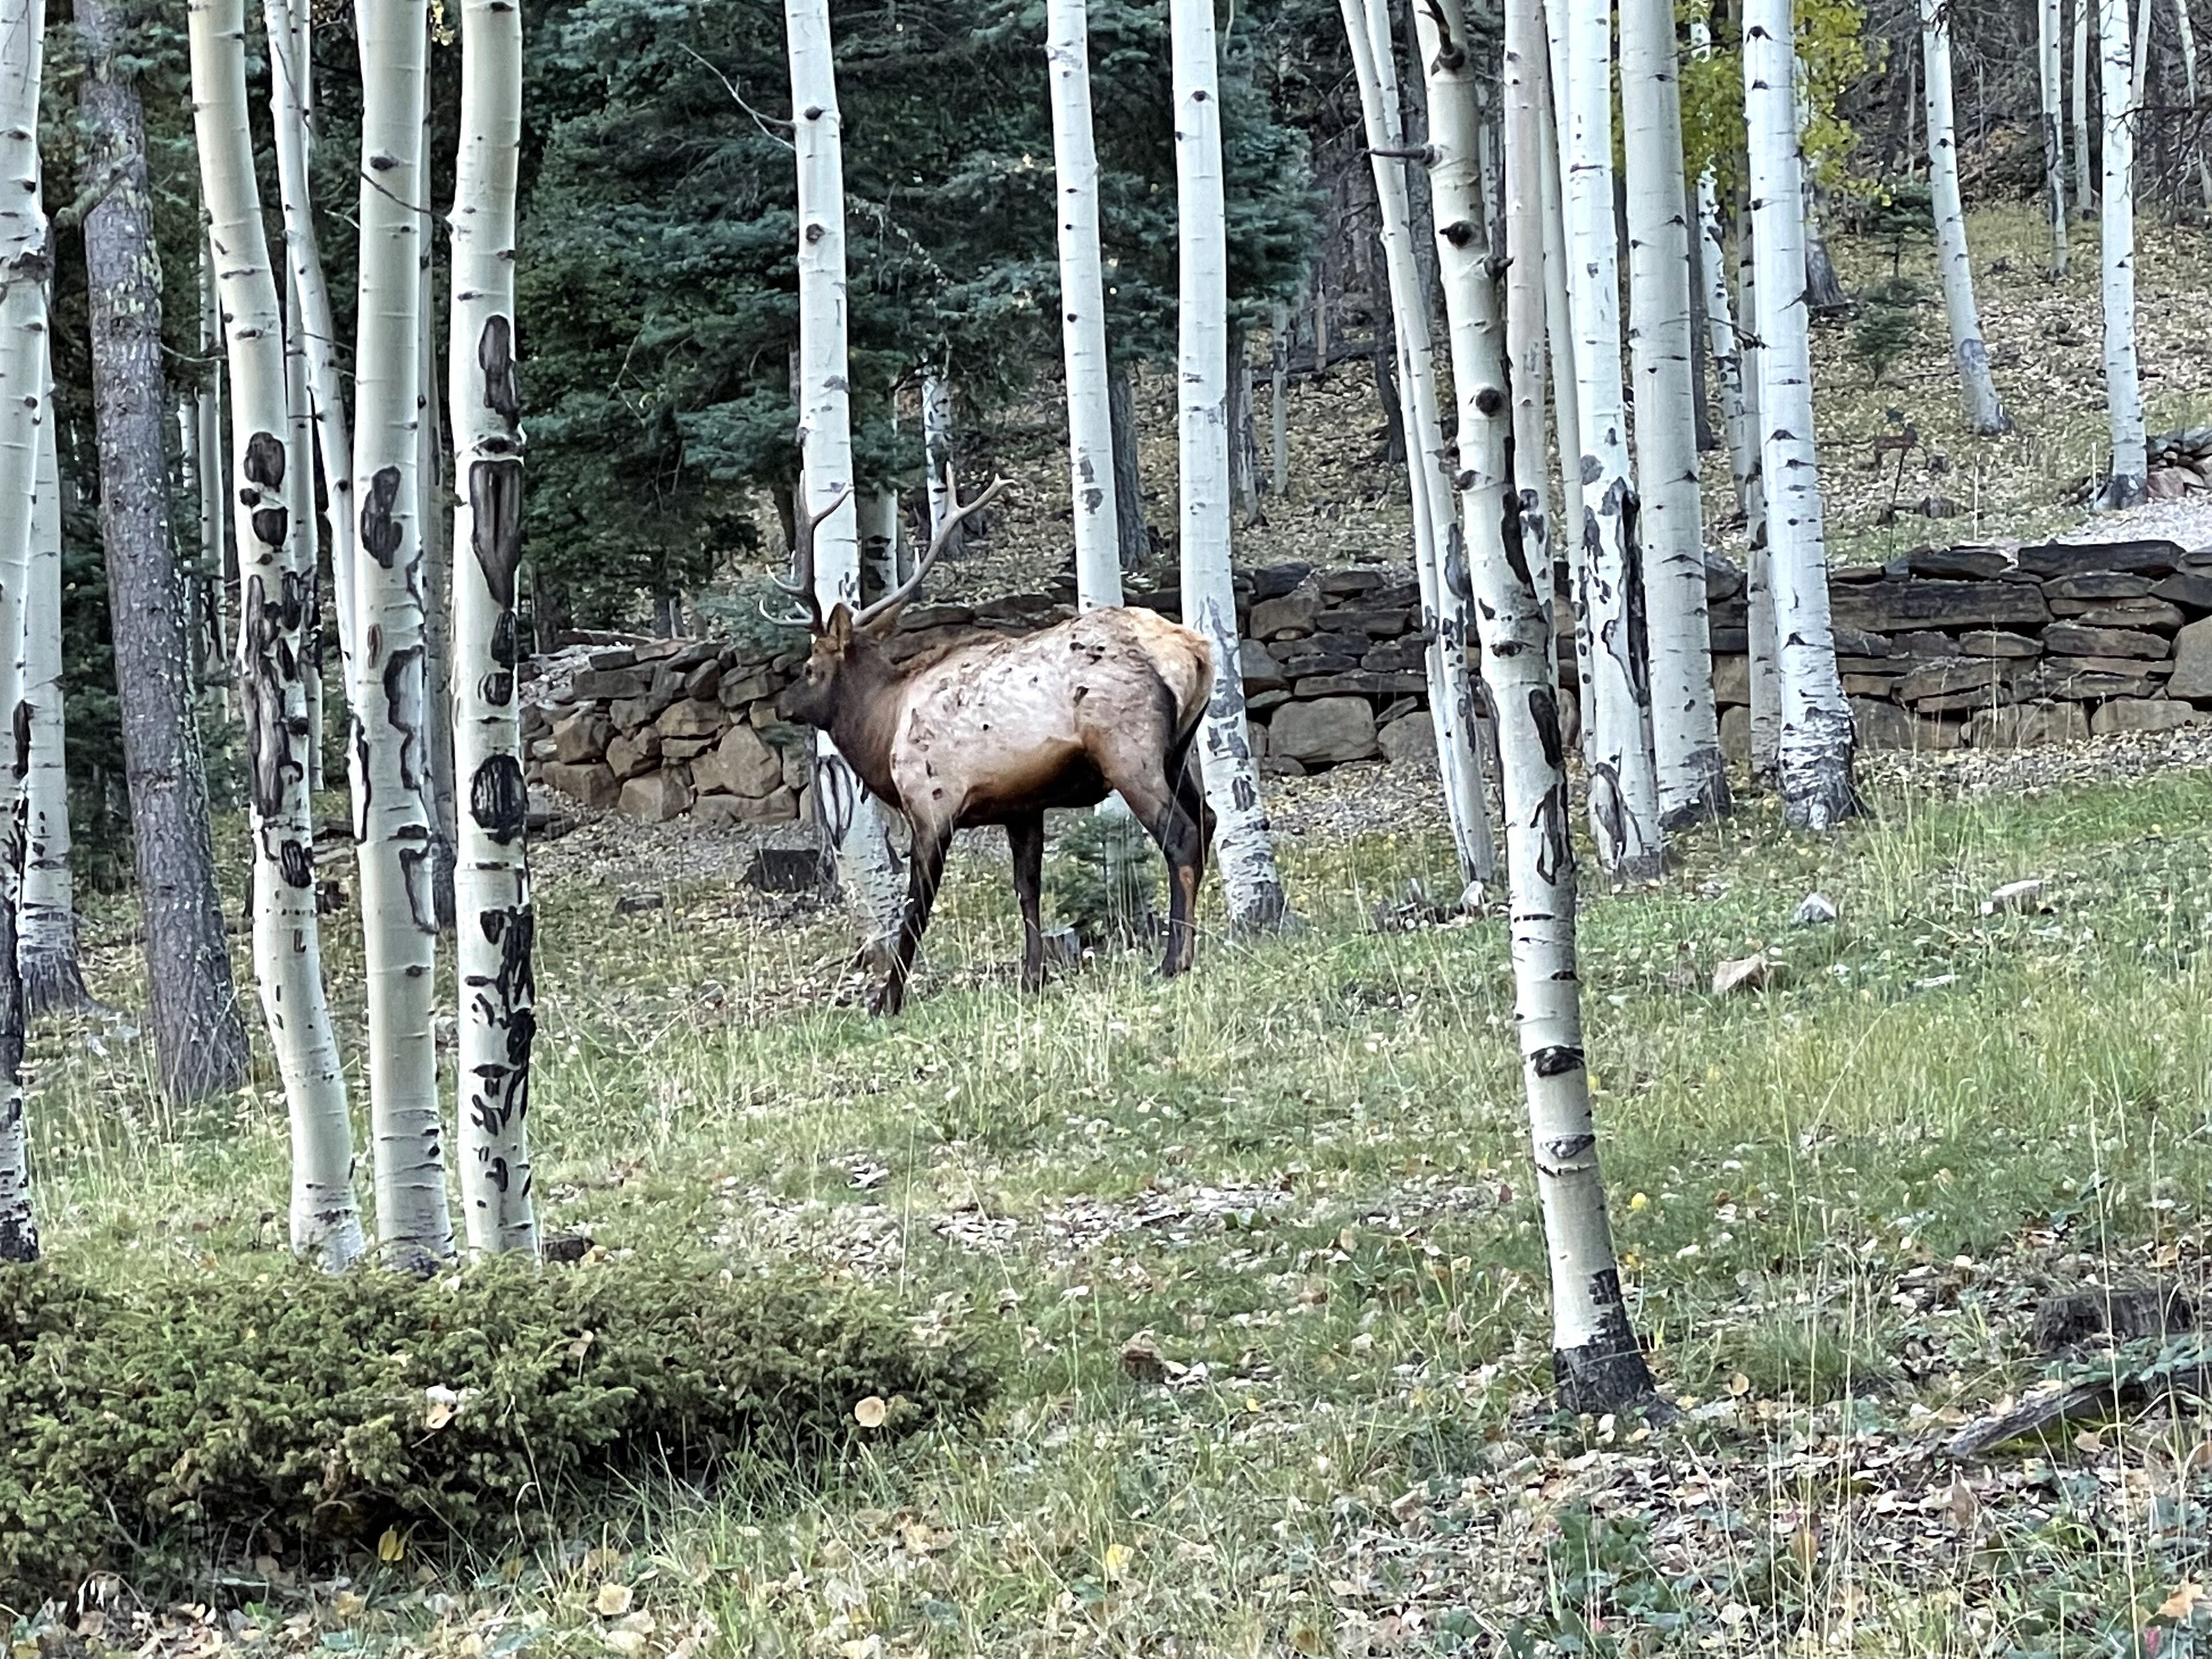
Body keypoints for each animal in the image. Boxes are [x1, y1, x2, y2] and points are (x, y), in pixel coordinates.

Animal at [768, 473, 1216, 1016]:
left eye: (811, 667)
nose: (784, 704)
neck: (882, 728)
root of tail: (1195, 652)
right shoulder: (1022, 806)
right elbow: (1028, 890)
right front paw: (1032, 976)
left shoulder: (932, 804)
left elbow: (916, 909)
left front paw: (887, 999)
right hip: (1180, 751)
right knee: (1208, 818)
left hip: (1130, 752)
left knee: (1181, 835)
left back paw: (1175, 959)